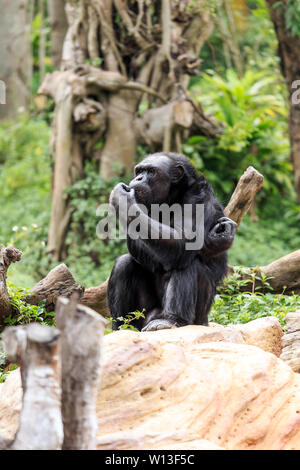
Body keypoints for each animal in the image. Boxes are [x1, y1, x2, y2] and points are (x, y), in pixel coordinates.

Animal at [106, 152, 236, 332]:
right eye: (139, 170)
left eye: (151, 171)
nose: (138, 178)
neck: (171, 198)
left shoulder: (198, 198)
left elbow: (183, 240)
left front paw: (123, 199)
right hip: (145, 315)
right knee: (124, 264)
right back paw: (123, 327)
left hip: (198, 318)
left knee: (185, 262)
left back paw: (170, 320)